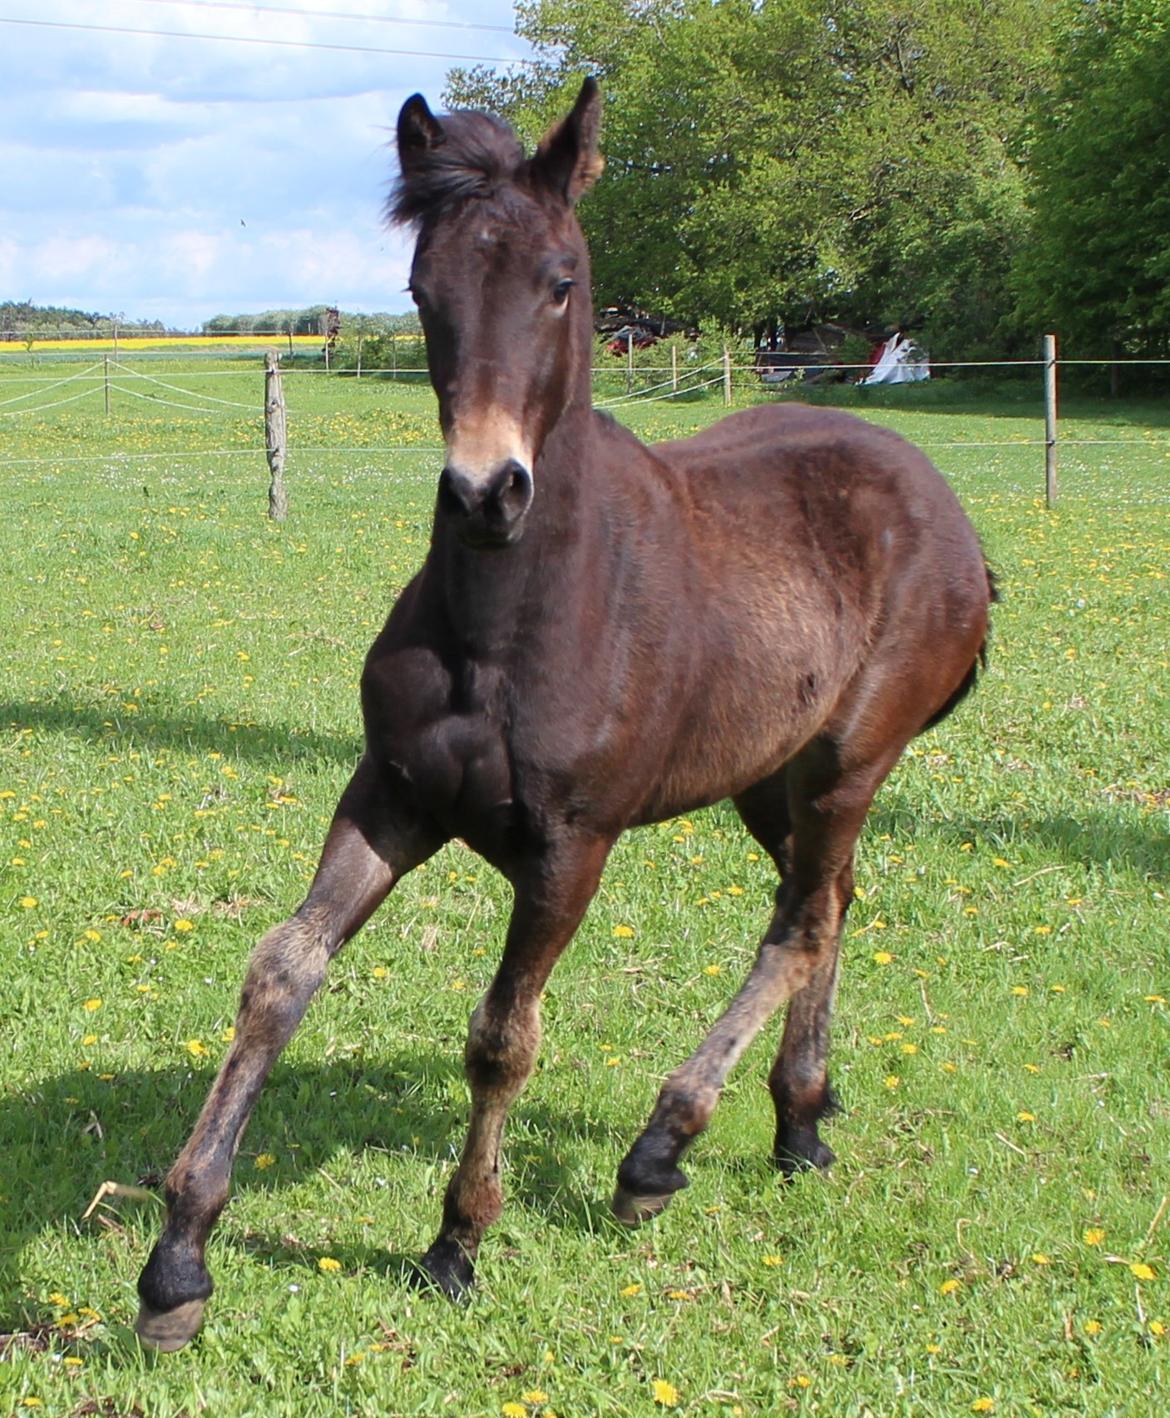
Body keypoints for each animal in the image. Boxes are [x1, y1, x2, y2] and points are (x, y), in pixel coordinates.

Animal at [136, 80, 992, 1349]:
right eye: (422, 290)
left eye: (560, 279)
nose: (486, 492)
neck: (509, 618)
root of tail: (944, 504)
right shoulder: (389, 795)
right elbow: (282, 970)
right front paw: (178, 1259)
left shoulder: (569, 847)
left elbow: (503, 1036)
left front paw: (456, 1239)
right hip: (767, 775)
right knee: (829, 901)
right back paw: (798, 1120)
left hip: (851, 758)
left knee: (801, 922)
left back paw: (659, 1148)